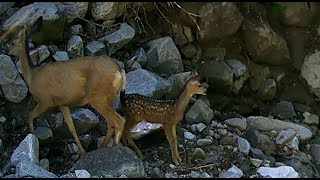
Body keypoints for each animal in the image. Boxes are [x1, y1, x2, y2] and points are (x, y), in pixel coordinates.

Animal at [0, 16, 127, 154]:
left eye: (13, 43)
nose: (5, 50)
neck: (31, 76)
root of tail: (120, 71)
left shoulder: (45, 100)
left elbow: (29, 116)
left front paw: (33, 136)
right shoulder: (62, 103)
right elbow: (71, 127)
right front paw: (82, 152)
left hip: (98, 98)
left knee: (120, 121)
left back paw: (115, 147)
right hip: (106, 98)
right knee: (111, 123)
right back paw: (103, 147)